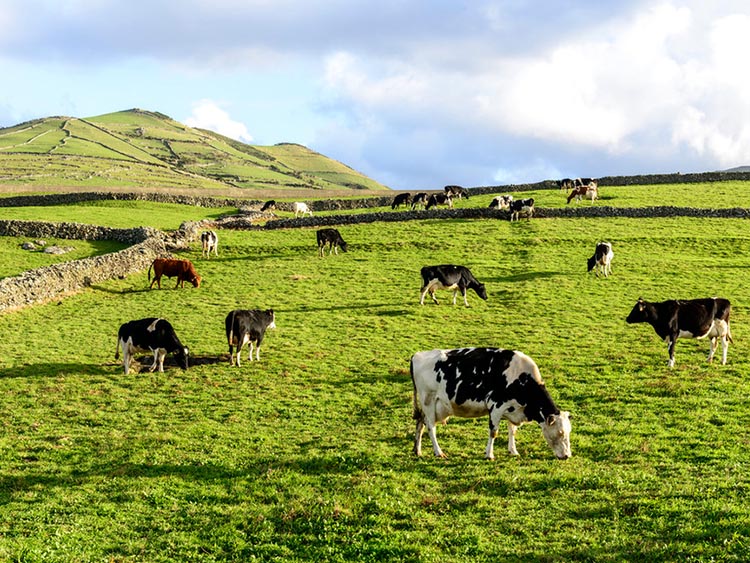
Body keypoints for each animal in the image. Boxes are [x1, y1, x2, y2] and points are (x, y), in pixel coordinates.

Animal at [414, 348, 572, 462]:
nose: (567, 456)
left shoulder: (513, 409)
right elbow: (493, 432)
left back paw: (417, 450)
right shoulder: (496, 407)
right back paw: (438, 452)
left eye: (568, 432)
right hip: (429, 401)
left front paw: (513, 451)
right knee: (431, 427)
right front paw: (489, 454)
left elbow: (512, 431)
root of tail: (417, 355)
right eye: (560, 432)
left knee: (420, 422)